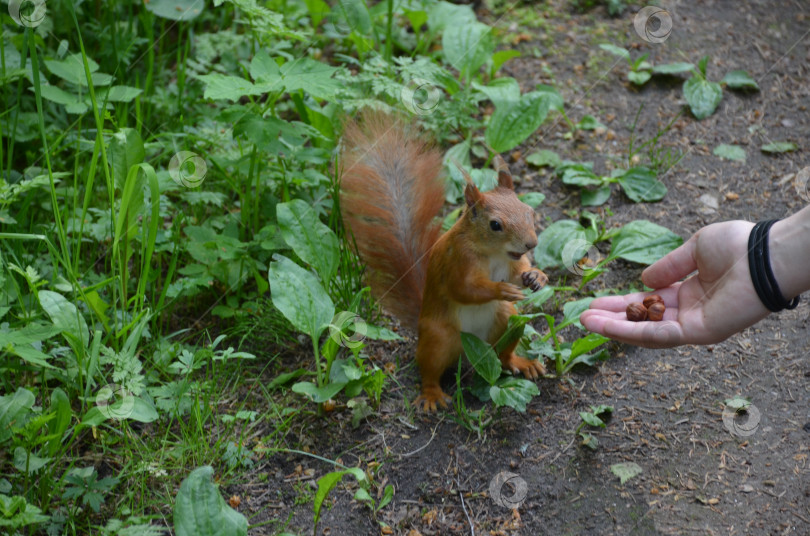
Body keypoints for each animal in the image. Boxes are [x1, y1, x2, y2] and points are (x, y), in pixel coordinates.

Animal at [338, 113, 548, 412]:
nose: (531, 244)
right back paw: (432, 395)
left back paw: (521, 362)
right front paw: (501, 289)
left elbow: (520, 272)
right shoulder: (457, 261)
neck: (494, 254)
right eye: (495, 225)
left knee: (502, 356)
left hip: (506, 320)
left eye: (529, 211)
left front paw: (537, 276)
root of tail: (468, 355)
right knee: (428, 369)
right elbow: (463, 289)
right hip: (438, 338)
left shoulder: (512, 263)